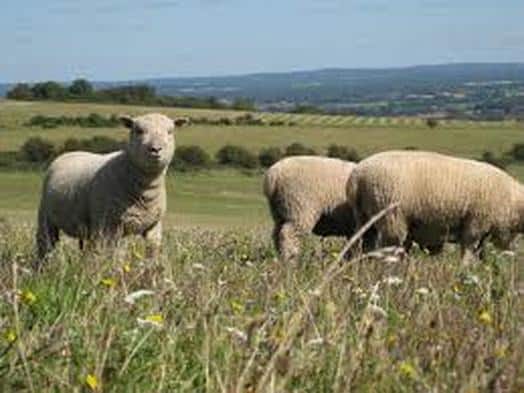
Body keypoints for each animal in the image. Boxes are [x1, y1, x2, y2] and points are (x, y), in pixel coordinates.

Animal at [35, 112, 189, 262]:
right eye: (138, 131)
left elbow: (152, 254)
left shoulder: (154, 227)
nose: (156, 149)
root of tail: (69, 153)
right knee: (46, 244)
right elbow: (113, 256)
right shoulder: (109, 227)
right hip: (46, 217)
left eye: (170, 131)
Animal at [346, 150, 524, 264]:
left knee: (361, 244)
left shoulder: (482, 231)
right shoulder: (475, 224)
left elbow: (479, 253)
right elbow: (467, 251)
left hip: (363, 217)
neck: (513, 200)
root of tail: (357, 176)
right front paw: (465, 270)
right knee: (389, 250)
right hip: (392, 217)